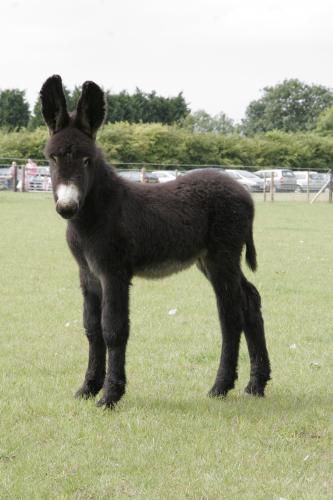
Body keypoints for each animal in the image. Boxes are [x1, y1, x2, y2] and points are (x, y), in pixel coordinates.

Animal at [40, 76, 272, 408]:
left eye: (87, 160)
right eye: (52, 158)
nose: (67, 207)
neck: (95, 214)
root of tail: (244, 193)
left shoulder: (114, 272)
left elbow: (113, 330)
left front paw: (110, 395)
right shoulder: (87, 274)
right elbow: (91, 329)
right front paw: (88, 388)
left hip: (222, 256)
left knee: (230, 315)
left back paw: (221, 386)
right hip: (209, 259)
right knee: (250, 300)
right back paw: (256, 384)